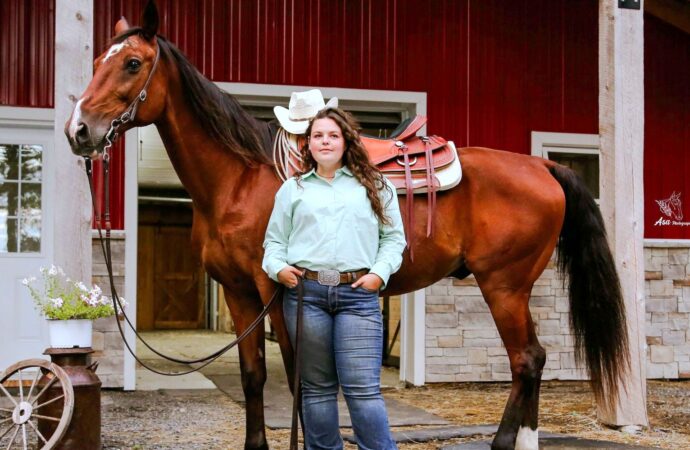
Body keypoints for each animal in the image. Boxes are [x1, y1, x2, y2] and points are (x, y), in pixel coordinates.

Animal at [66, 1, 628, 448]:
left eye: (133, 63)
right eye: (95, 63)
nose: (79, 131)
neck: (239, 179)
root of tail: (542, 168)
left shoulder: (275, 291)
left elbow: (297, 378)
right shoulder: (239, 294)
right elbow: (252, 378)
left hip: (505, 286)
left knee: (527, 359)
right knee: (532, 360)